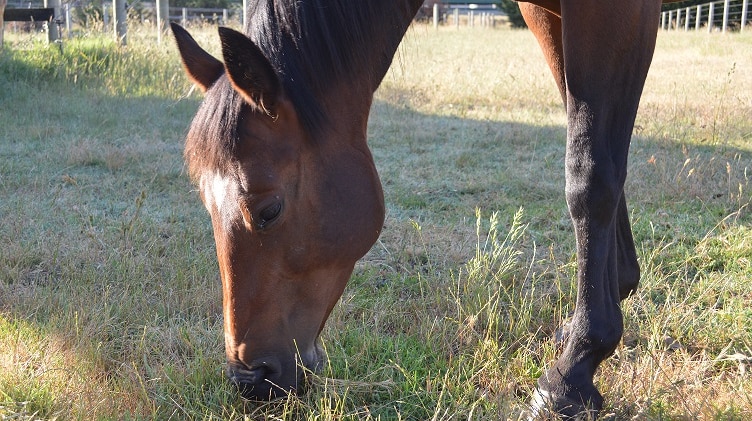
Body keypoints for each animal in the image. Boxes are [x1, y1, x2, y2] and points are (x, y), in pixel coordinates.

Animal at [173, 0, 668, 414]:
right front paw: (609, 296)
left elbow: (590, 172)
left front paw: (575, 370)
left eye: (268, 210)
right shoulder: (547, 12)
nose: (250, 380)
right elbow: (590, 136)